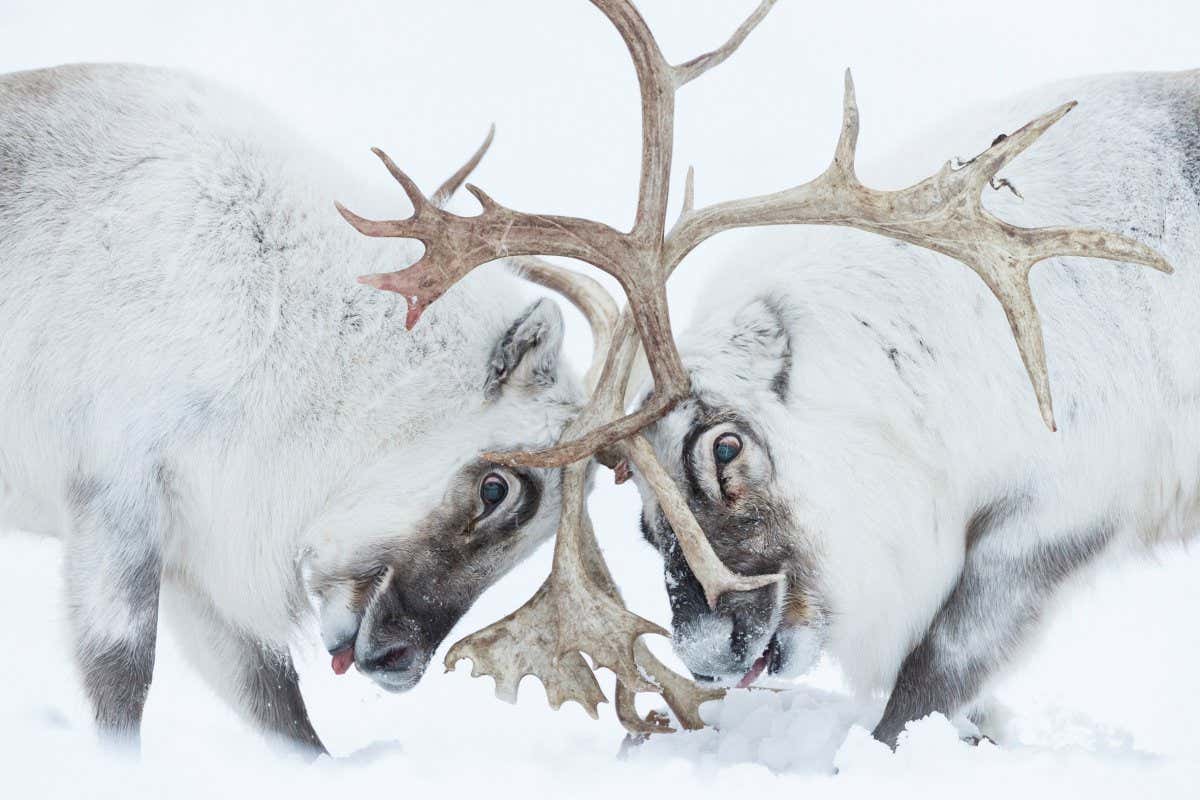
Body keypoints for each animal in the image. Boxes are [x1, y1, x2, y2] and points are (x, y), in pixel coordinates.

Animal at [0, 64, 585, 753]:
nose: (402, 663)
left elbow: (278, 706)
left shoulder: (202, 554)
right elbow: (121, 678)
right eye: (497, 488)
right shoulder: (117, 493)